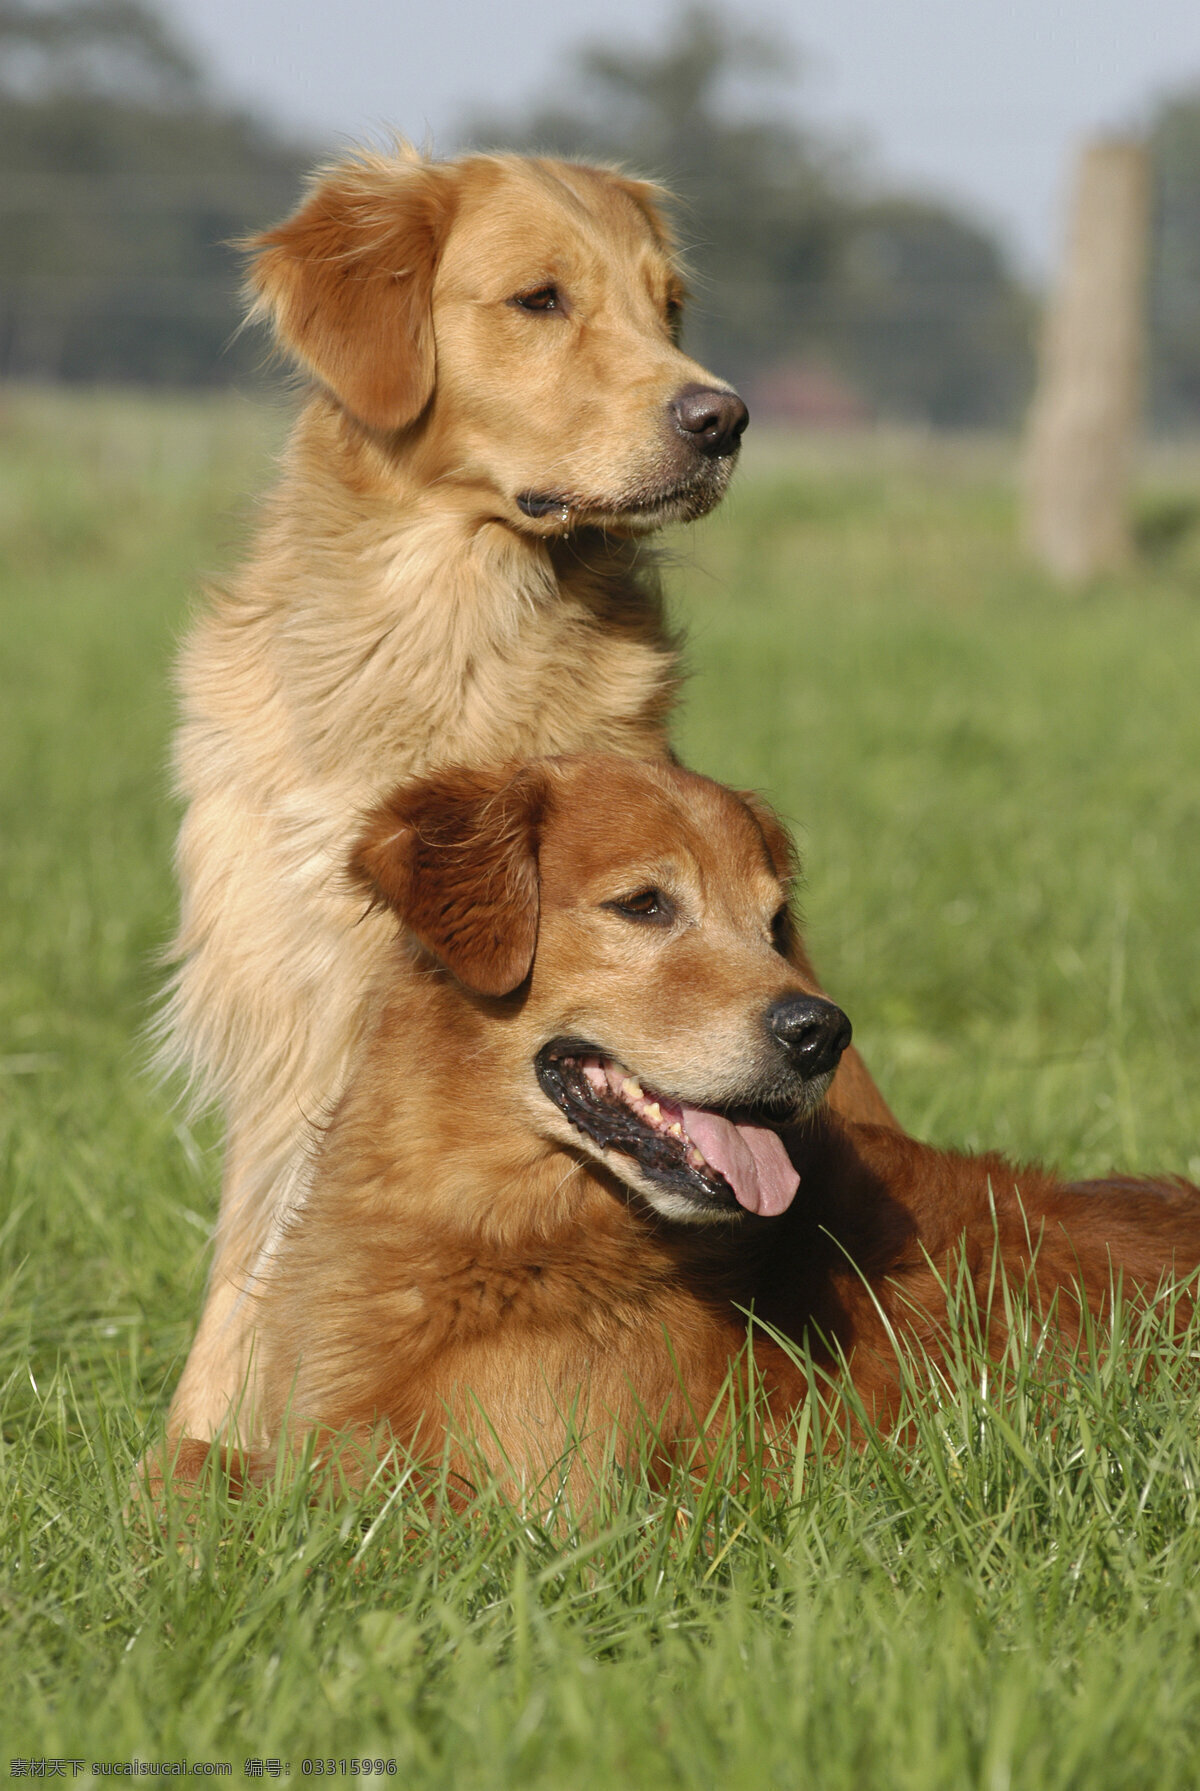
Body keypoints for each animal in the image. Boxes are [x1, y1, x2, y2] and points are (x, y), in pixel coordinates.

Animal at [164, 146, 902, 1447]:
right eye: (541, 300)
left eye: (670, 308)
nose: (724, 419)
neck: (457, 633)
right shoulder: (291, 1018)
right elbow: (250, 1285)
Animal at [169, 755, 1200, 1497]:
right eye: (644, 904)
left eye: (775, 924)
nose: (822, 1032)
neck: (493, 1228)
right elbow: (177, 1466)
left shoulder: (542, 1501)